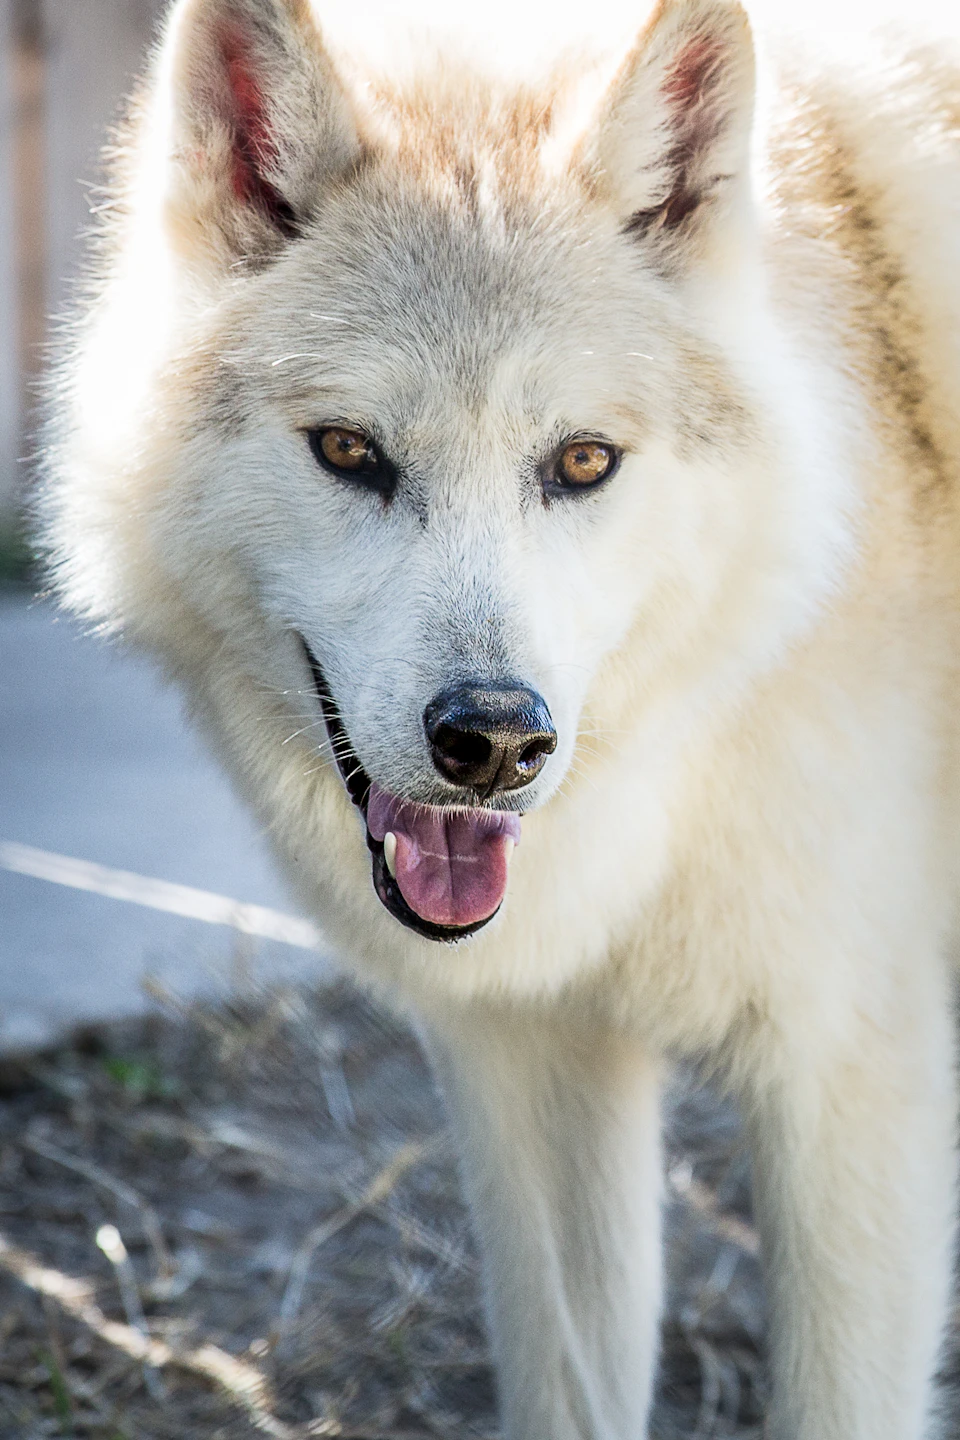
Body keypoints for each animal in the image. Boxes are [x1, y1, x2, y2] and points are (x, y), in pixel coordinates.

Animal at [40, 0, 960, 1433]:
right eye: (350, 452)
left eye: (581, 461)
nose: (494, 740)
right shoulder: (528, 1059)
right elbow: (569, 1385)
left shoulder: (850, 1081)